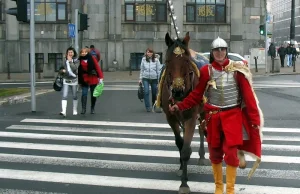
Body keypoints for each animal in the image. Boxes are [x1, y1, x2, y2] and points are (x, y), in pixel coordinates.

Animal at [157, 32, 209, 193]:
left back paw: (202, 156)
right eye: (167, 61)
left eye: (186, 60)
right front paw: (181, 168)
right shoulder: (171, 118)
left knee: (202, 130)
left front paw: (184, 184)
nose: (177, 91)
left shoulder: (191, 117)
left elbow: (186, 148)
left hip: (203, 111)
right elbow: (180, 143)